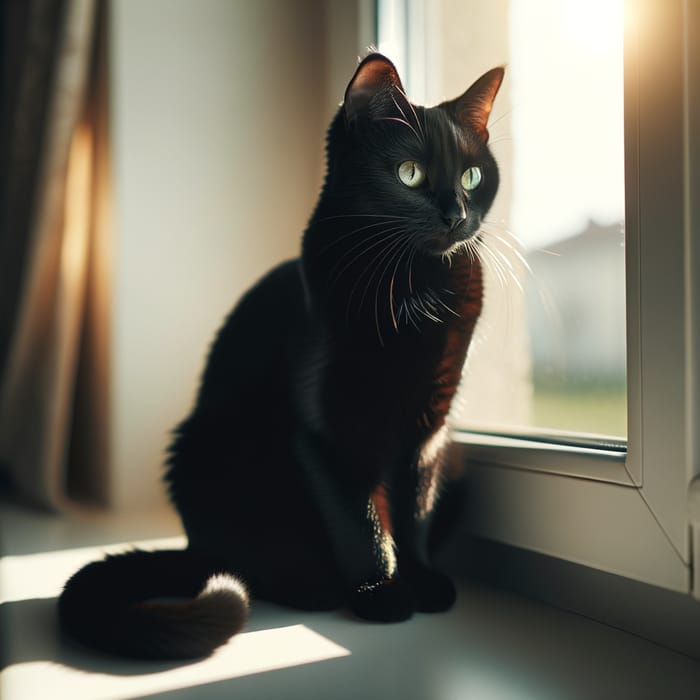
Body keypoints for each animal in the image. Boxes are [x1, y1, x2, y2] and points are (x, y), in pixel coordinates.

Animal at [58, 53, 504, 656]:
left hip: (456, 457)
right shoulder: (326, 429)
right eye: (409, 172)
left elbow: (413, 509)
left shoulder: (429, 429)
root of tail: (191, 549)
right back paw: (311, 586)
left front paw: (421, 581)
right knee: (244, 560)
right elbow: (361, 521)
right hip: (201, 451)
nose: (457, 214)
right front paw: (381, 595)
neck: (415, 290)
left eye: (471, 177)